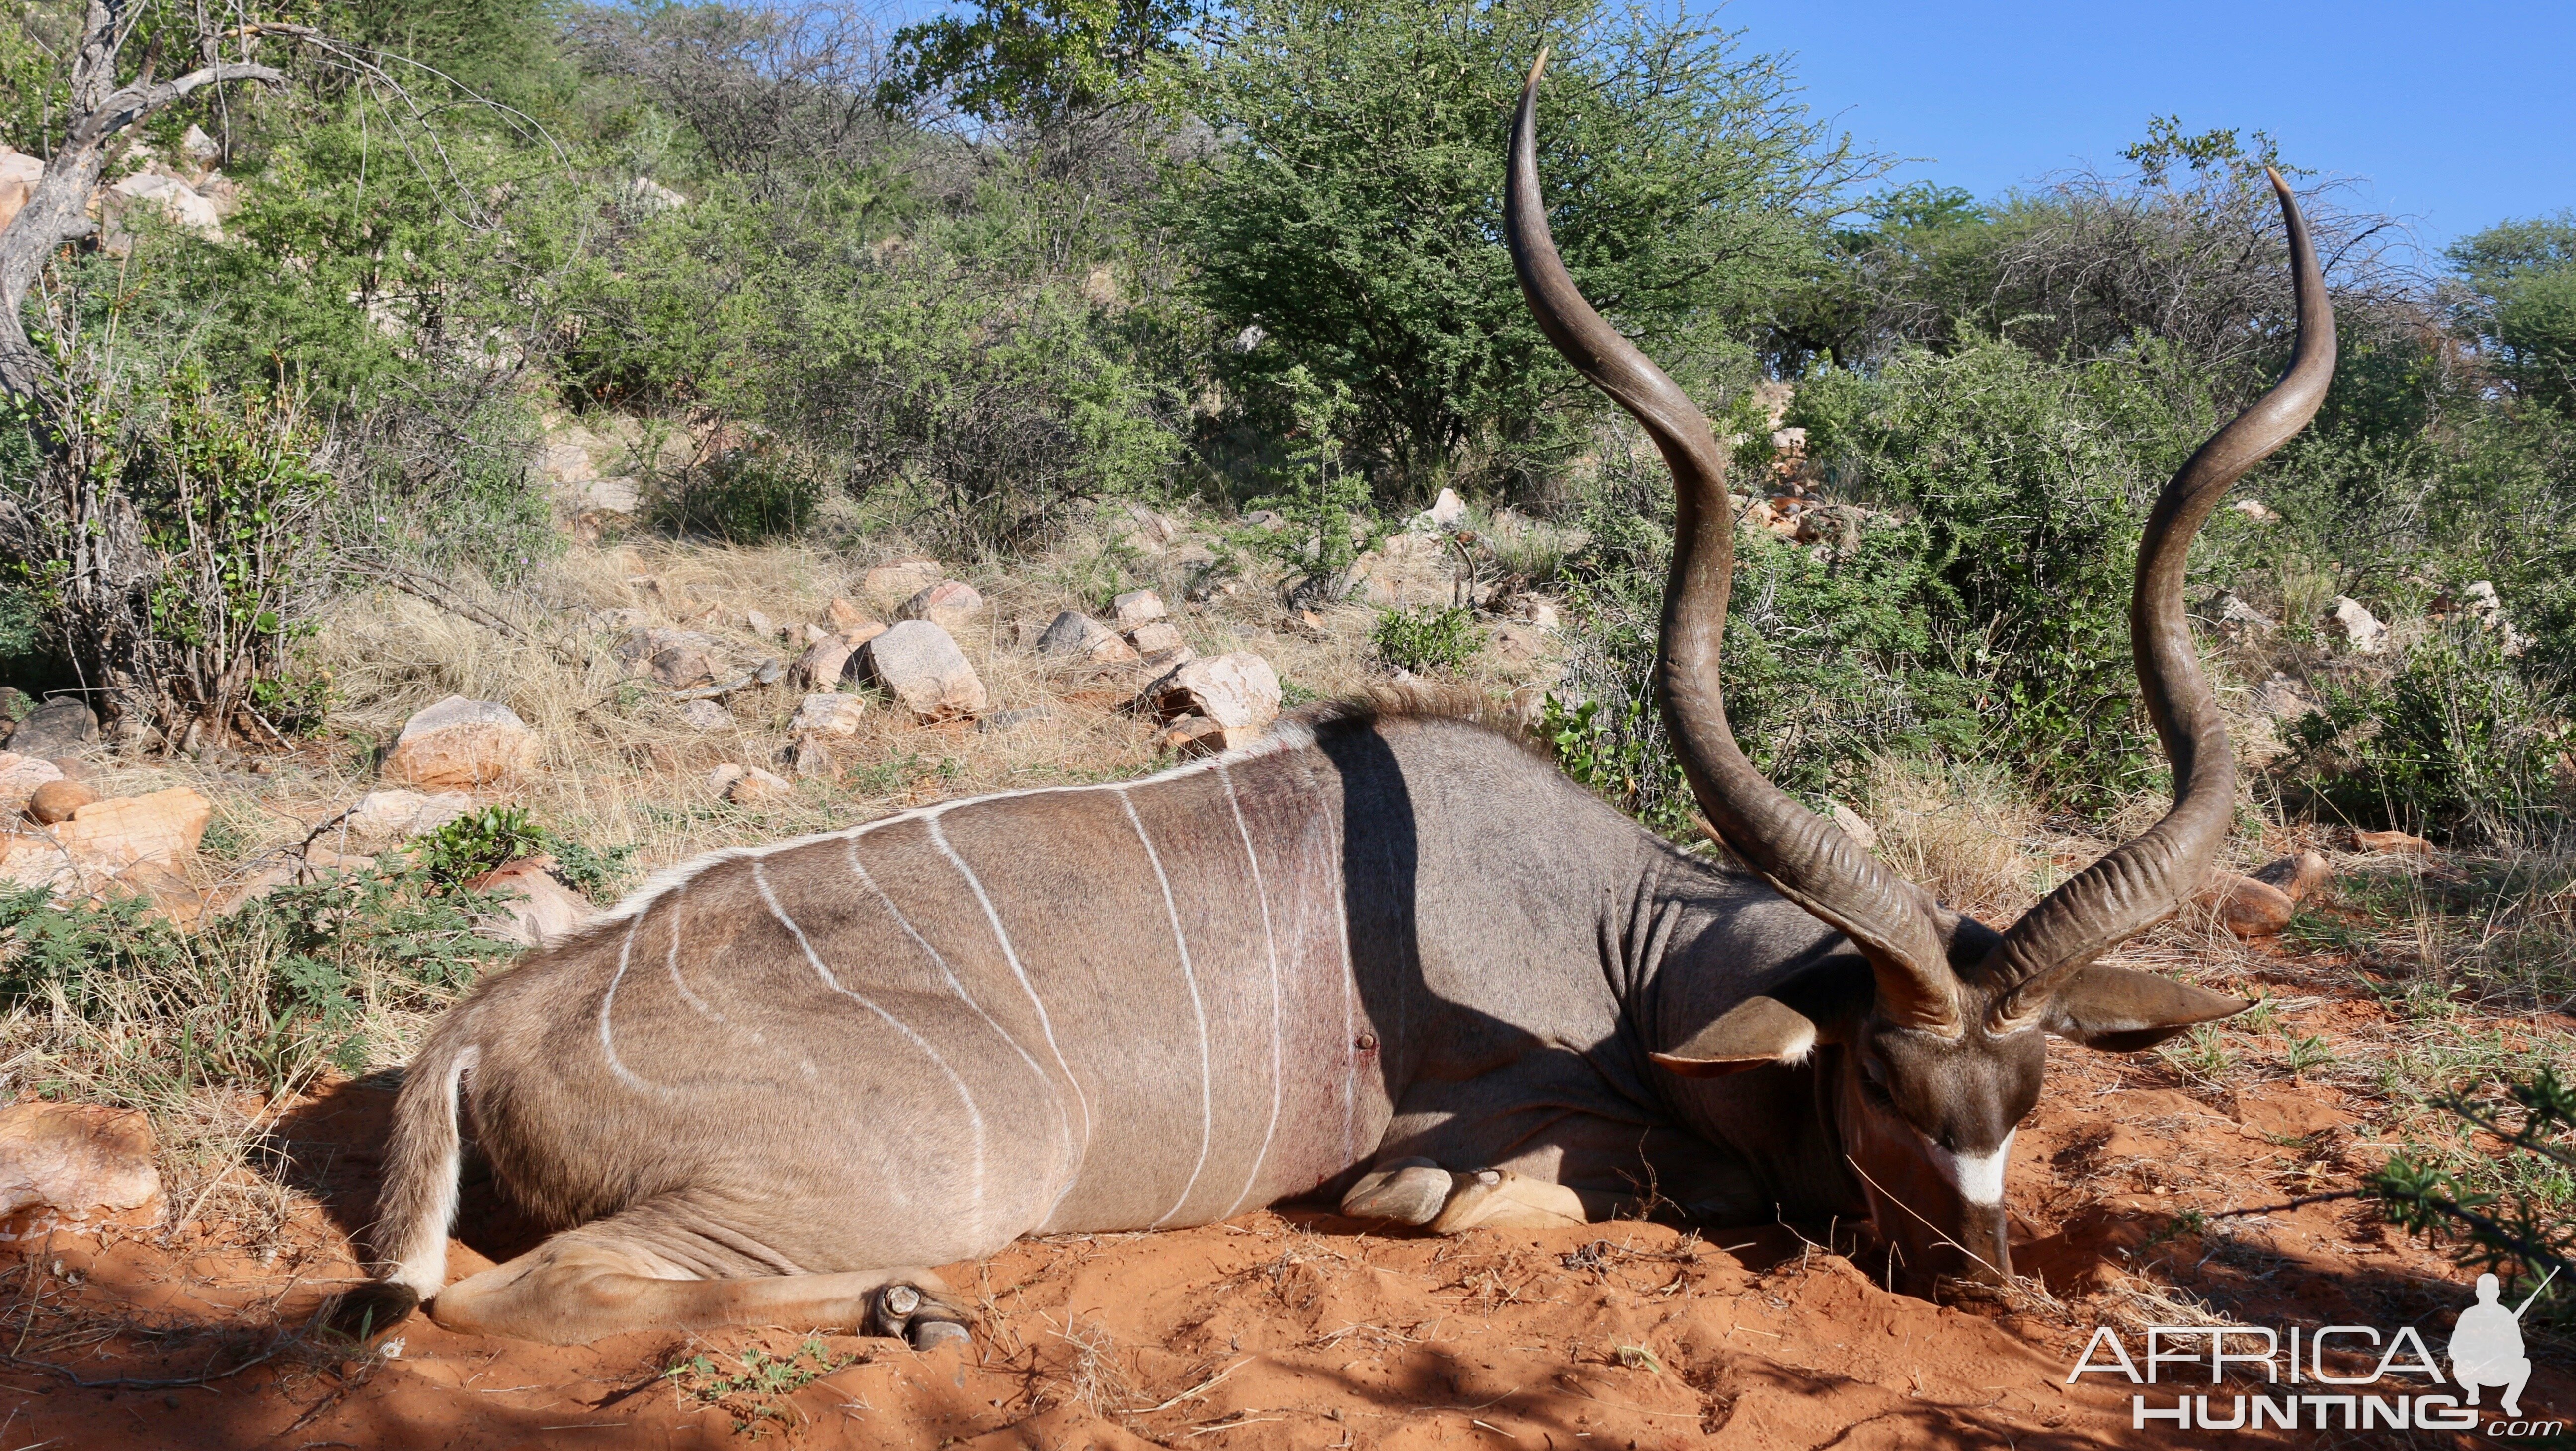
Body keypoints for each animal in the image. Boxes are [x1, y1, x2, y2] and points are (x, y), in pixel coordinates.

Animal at [327, 57, 2339, 1350]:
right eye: (1881, 1082)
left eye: (2031, 1090)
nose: (1982, 1287)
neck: (1627, 942)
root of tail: (478, 1028)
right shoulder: (1485, 1134)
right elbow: (1498, 1193)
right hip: (947, 1166)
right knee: (494, 1303)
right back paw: (910, 1303)